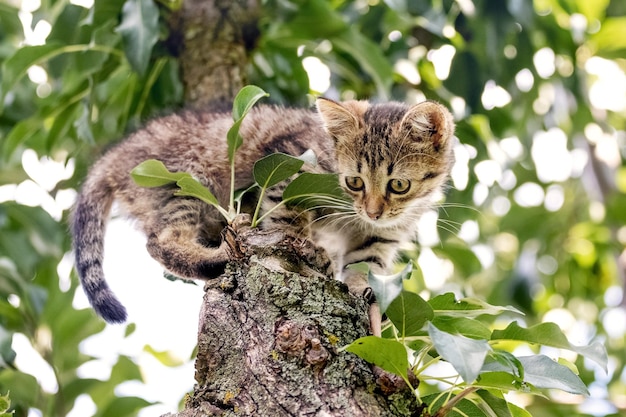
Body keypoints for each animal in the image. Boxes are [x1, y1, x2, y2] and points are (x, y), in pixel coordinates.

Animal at [72, 97, 454, 322]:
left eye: (398, 185)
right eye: (354, 182)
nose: (373, 212)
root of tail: (115, 155)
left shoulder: (380, 237)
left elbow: (366, 263)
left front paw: (365, 291)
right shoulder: (288, 172)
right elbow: (289, 221)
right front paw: (307, 249)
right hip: (187, 180)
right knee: (162, 241)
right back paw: (219, 257)